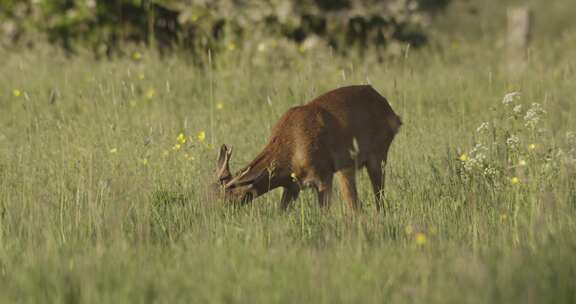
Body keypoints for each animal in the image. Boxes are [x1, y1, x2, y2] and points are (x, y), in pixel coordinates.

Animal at [210, 84, 400, 210]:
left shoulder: (323, 176)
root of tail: (393, 114)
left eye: (226, 198)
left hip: (375, 156)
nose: (213, 215)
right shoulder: (292, 186)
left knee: (374, 199)